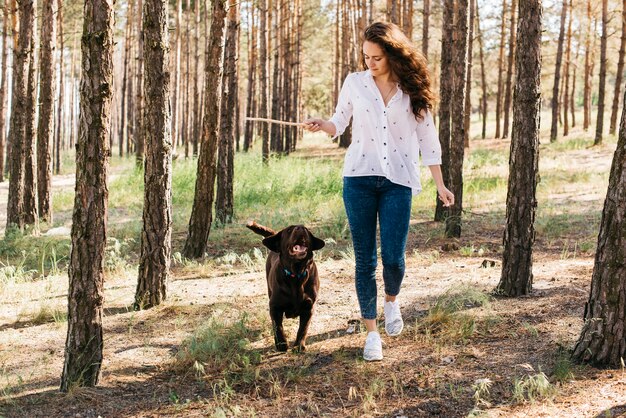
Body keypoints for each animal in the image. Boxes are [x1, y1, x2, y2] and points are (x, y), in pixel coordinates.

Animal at [247, 220, 326, 352]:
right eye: (289, 230)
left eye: (306, 229)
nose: (300, 228)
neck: (296, 274)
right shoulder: (275, 306)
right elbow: (277, 326)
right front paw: (281, 344)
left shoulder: (308, 307)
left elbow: (303, 328)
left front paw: (299, 345)